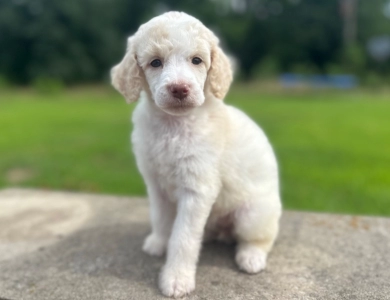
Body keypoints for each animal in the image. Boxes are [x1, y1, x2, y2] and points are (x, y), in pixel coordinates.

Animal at [111, 11, 282, 298]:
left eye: (197, 60)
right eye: (155, 62)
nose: (179, 88)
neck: (173, 125)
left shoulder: (197, 189)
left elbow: (183, 237)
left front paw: (176, 278)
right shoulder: (155, 183)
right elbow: (161, 217)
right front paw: (159, 242)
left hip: (253, 215)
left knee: (260, 238)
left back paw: (251, 257)